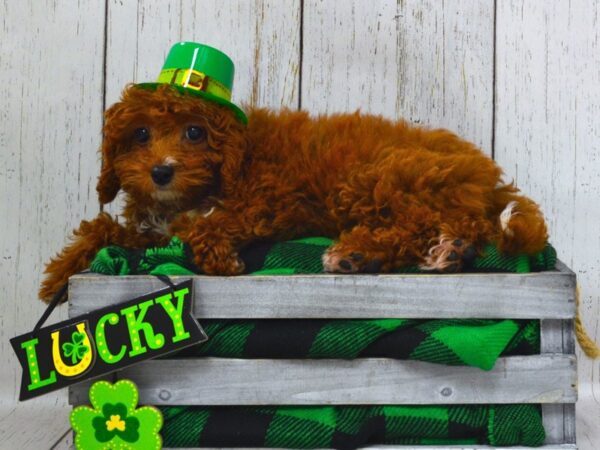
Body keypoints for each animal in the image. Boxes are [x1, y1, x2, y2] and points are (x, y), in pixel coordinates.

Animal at [38, 84, 548, 302]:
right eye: (140, 134)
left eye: (194, 132)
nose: (161, 172)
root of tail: (486, 174)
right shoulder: (152, 229)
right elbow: (104, 227)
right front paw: (59, 274)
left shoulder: (268, 198)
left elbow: (211, 226)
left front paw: (220, 257)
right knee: (461, 225)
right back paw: (447, 251)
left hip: (375, 177)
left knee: (417, 223)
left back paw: (360, 253)